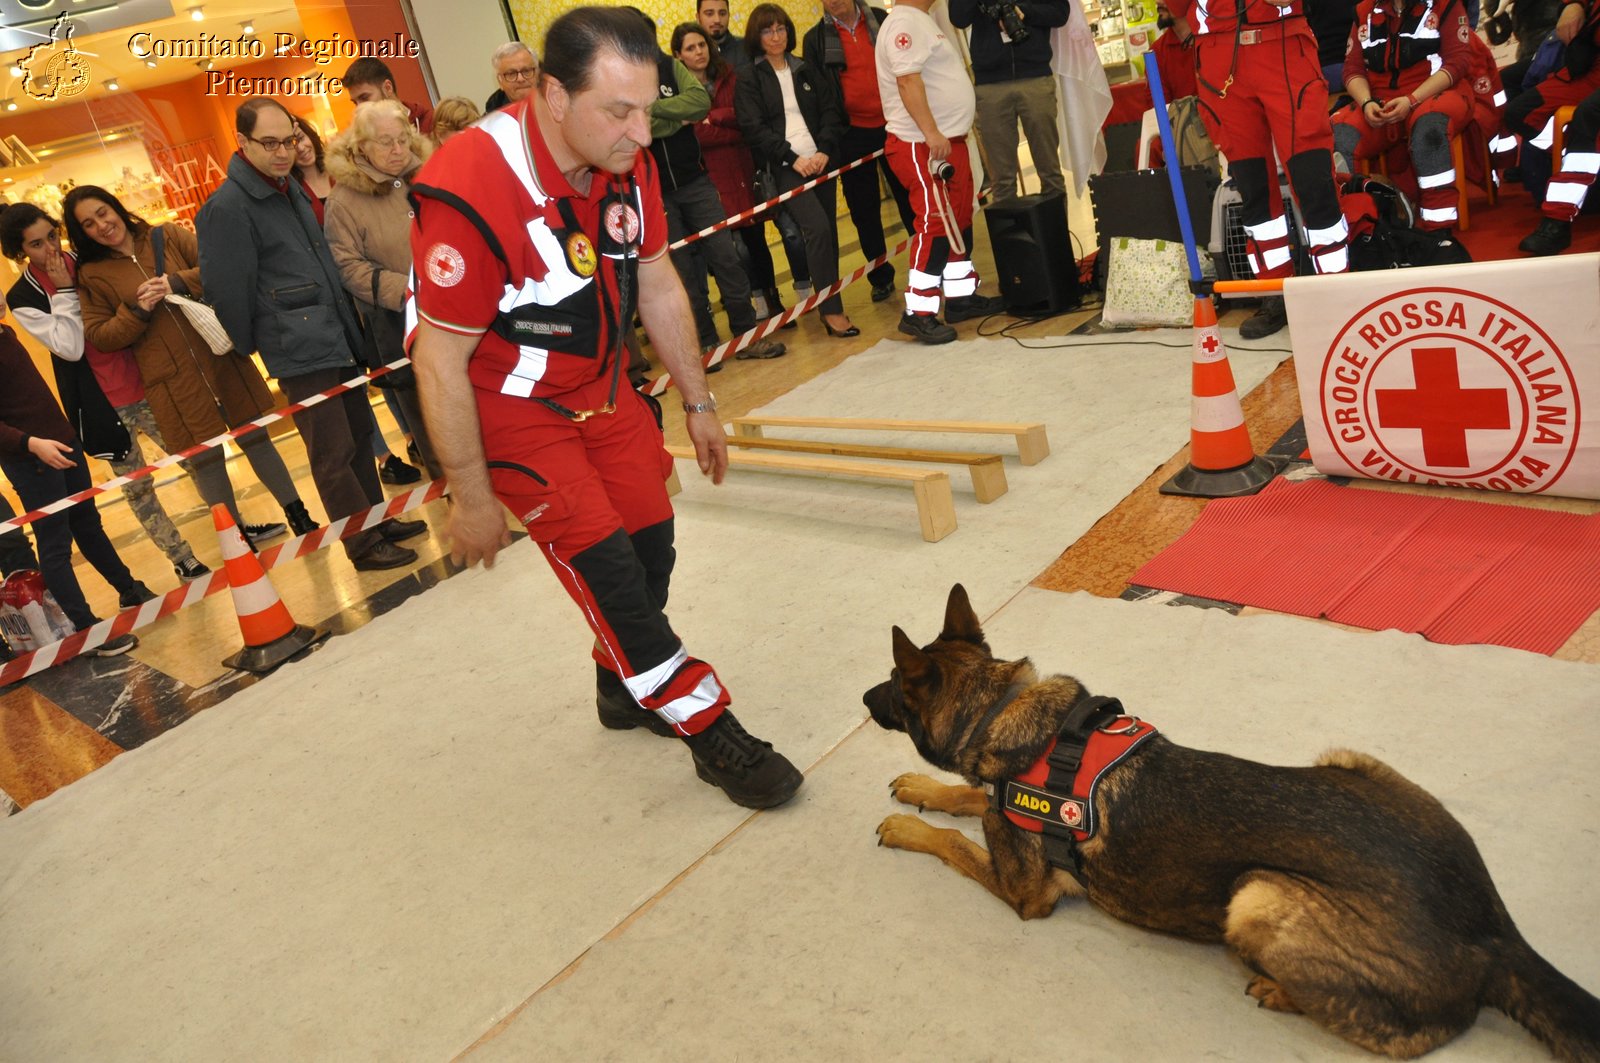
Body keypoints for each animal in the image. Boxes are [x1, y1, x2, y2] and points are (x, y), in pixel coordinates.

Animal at [864, 585, 1600, 1056]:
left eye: (893, 687)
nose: (862, 696)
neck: (1004, 714)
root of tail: (1494, 931)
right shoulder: (995, 798)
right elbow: (968, 799)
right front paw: (924, 786)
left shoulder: (1025, 893)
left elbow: (955, 843)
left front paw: (908, 826)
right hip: (1346, 759)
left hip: (1255, 894)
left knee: (1410, 1038)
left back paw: (1277, 990)